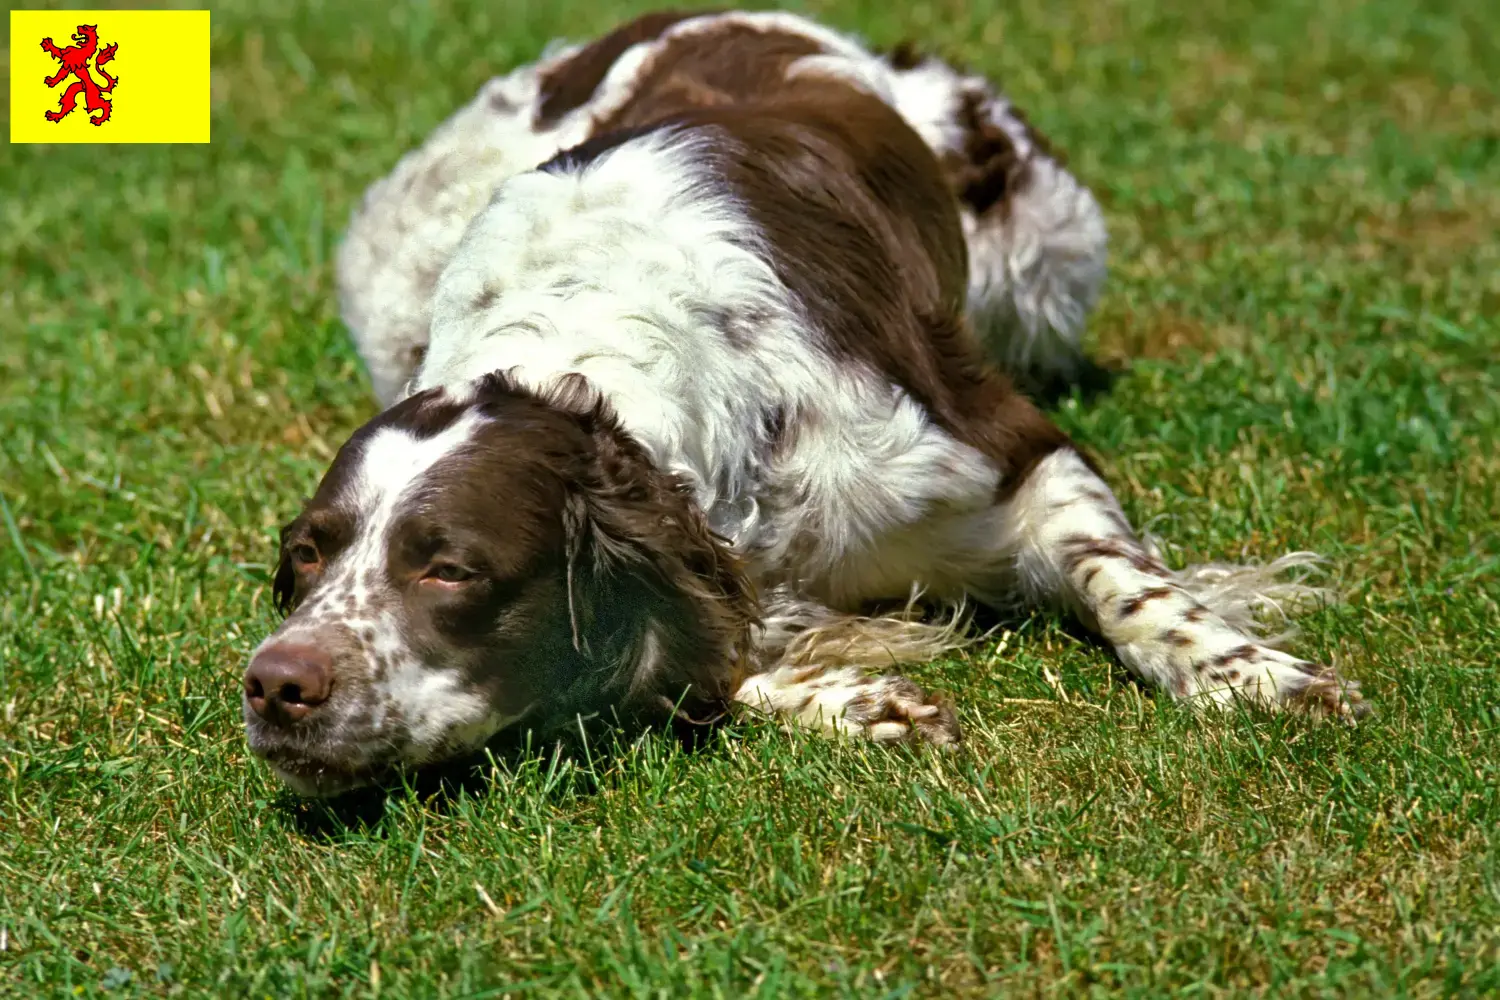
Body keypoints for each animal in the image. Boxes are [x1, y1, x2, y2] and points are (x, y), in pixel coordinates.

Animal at [243, 5, 1362, 791]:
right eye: (308, 555)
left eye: (451, 569)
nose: (275, 683)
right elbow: (706, 659)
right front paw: (857, 700)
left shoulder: (1006, 447)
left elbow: (1122, 582)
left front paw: (1251, 673)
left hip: (1046, 244)